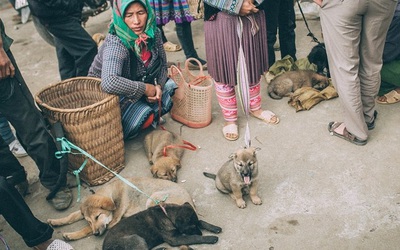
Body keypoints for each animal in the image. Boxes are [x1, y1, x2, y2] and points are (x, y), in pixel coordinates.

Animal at [47, 177, 194, 241]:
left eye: (97, 216)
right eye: (89, 220)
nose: (96, 234)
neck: (112, 193)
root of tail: (191, 201)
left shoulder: (112, 220)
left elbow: (86, 229)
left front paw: (72, 235)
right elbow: (72, 216)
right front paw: (55, 221)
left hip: (153, 198)